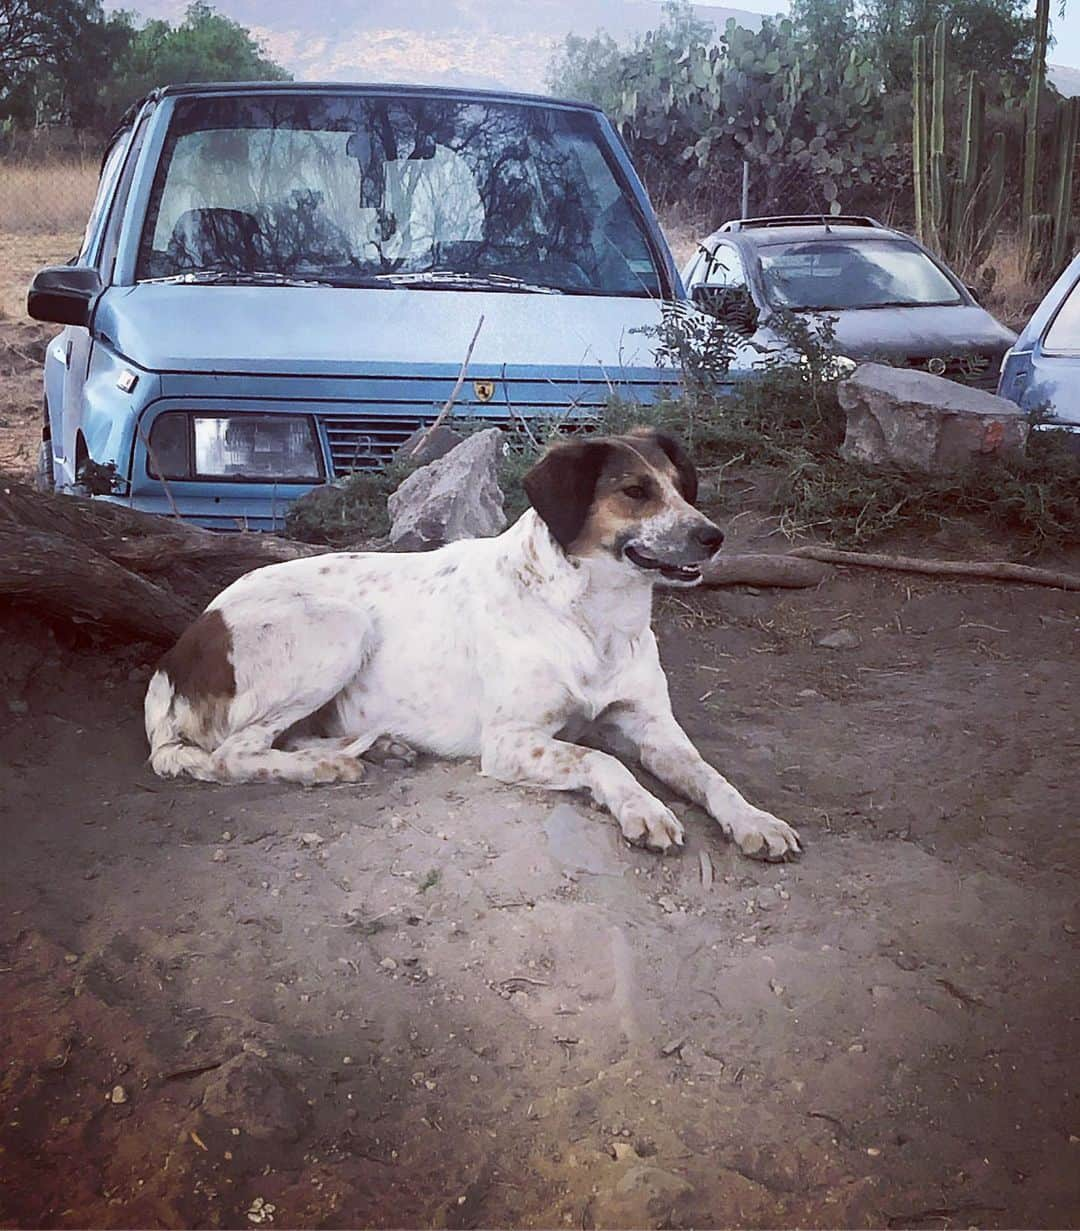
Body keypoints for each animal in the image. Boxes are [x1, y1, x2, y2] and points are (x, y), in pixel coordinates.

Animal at [143, 428, 802, 861]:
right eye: (635, 491)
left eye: (680, 487)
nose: (713, 536)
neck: (593, 618)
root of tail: (172, 662)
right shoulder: (511, 742)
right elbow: (600, 758)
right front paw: (643, 807)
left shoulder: (653, 728)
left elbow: (713, 776)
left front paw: (755, 819)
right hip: (340, 627)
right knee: (235, 753)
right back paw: (326, 766)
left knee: (286, 736)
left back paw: (378, 748)